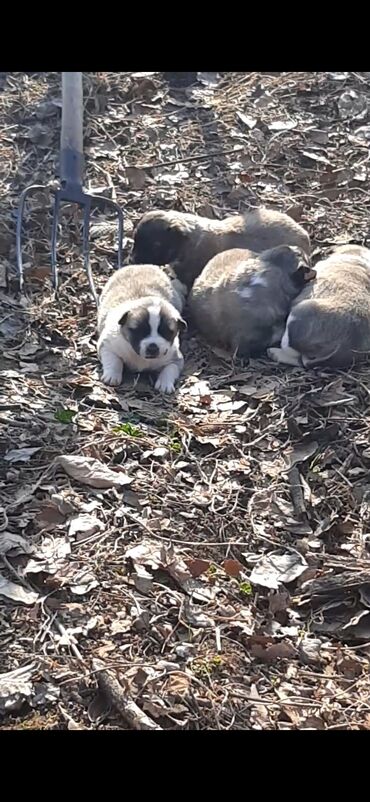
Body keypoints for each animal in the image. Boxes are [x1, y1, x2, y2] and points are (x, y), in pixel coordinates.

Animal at [97, 264, 186, 392]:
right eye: (139, 331)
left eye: (167, 333)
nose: (153, 347)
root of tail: (141, 265)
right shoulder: (107, 346)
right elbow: (114, 360)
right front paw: (112, 375)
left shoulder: (176, 358)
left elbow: (170, 368)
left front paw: (165, 383)